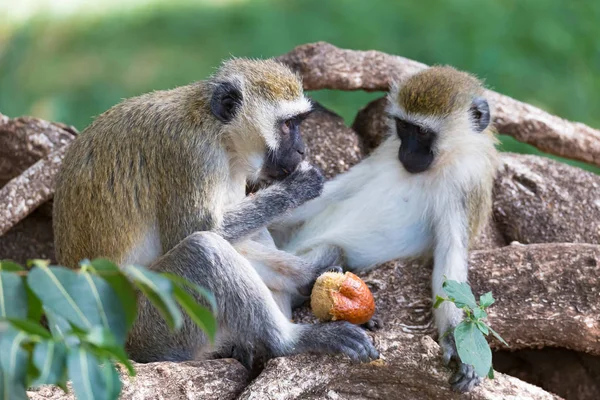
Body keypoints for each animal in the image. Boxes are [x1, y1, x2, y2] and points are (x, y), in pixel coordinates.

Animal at [54, 57, 378, 368]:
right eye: (288, 125)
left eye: (299, 122)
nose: (302, 151)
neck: (217, 130)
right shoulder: (191, 153)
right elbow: (199, 230)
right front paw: (299, 187)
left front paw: (312, 276)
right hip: (159, 326)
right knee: (202, 248)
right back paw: (291, 341)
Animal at [270, 66, 496, 394]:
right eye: (403, 126)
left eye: (422, 132)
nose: (408, 152)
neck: (440, 163)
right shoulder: (385, 152)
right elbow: (327, 193)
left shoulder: (465, 184)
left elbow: (449, 258)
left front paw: (456, 342)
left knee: (331, 250)